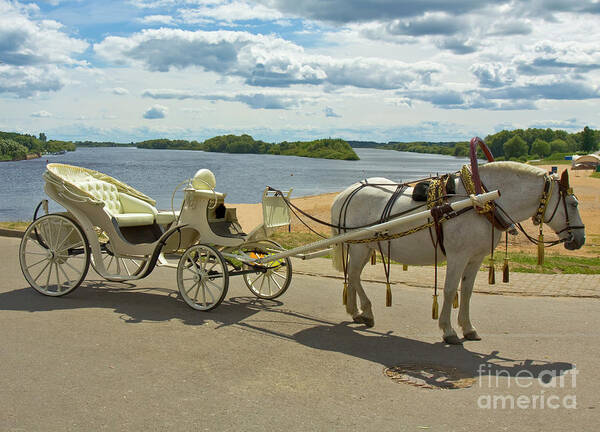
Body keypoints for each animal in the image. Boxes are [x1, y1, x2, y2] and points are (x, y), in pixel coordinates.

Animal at [330, 162, 584, 344]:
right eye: (573, 204)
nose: (579, 239)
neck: (480, 202)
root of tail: (346, 193)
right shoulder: (458, 256)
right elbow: (450, 289)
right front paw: (449, 330)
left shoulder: (475, 258)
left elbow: (468, 291)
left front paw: (468, 328)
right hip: (360, 246)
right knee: (354, 275)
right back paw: (365, 311)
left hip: (364, 246)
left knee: (352, 276)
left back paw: (356, 311)